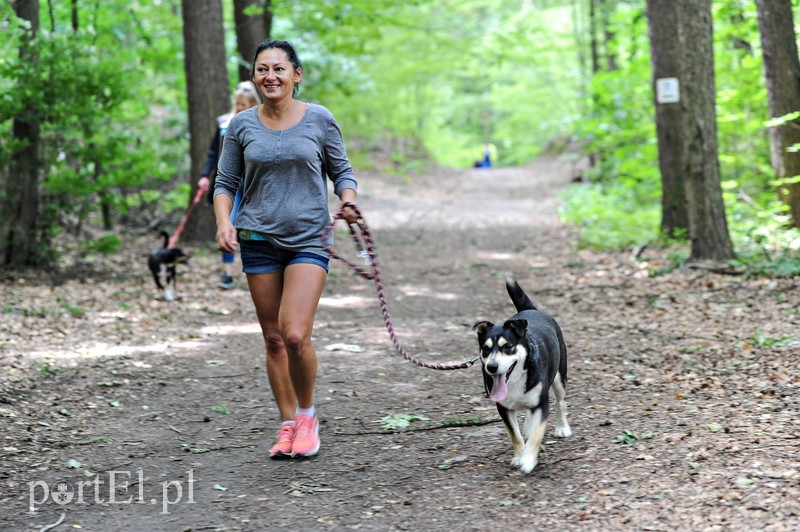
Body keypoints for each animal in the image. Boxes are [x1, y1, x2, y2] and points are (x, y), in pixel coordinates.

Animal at [472, 278, 572, 474]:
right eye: (486, 349)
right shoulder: (503, 408)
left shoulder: (541, 404)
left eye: (507, 347)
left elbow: (537, 433)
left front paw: (528, 459)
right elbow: (515, 435)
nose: (492, 367)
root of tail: (531, 310)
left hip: (559, 378)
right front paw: (519, 456)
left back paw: (562, 427)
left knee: (560, 402)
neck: (515, 380)